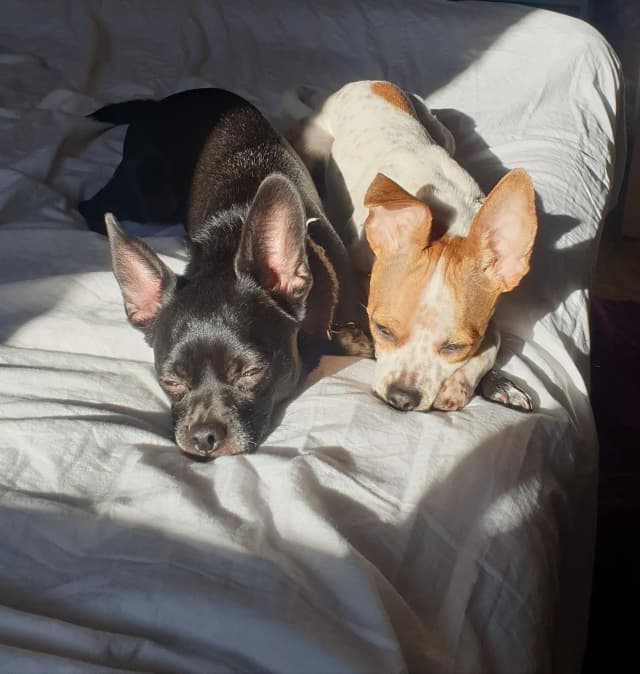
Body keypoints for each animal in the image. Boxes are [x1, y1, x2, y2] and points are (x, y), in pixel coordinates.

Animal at [282, 81, 536, 412]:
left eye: (455, 347)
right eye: (383, 330)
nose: (401, 397)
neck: (446, 223)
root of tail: (365, 82)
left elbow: (494, 339)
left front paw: (465, 384)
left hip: (443, 134)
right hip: (315, 145)